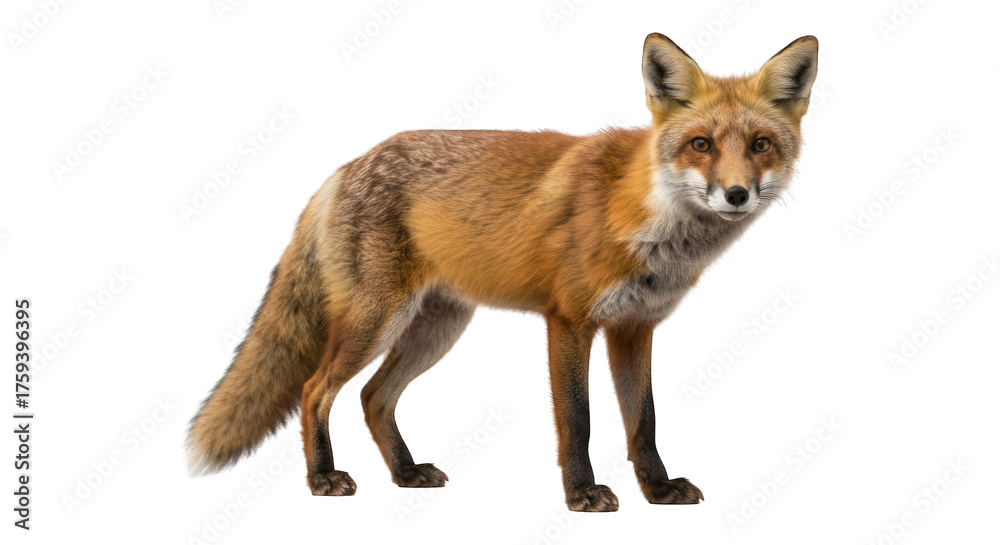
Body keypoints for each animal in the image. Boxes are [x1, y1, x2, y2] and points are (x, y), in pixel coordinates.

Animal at [187, 33, 818, 511]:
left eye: (761, 144)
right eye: (701, 144)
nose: (736, 195)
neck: (647, 221)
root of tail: (345, 167)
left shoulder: (634, 328)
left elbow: (644, 422)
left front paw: (658, 491)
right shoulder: (569, 322)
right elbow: (578, 421)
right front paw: (582, 495)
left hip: (436, 329)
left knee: (372, 397)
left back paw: (406, 474)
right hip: (376, 321)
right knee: (316, 391)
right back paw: (322, 478)